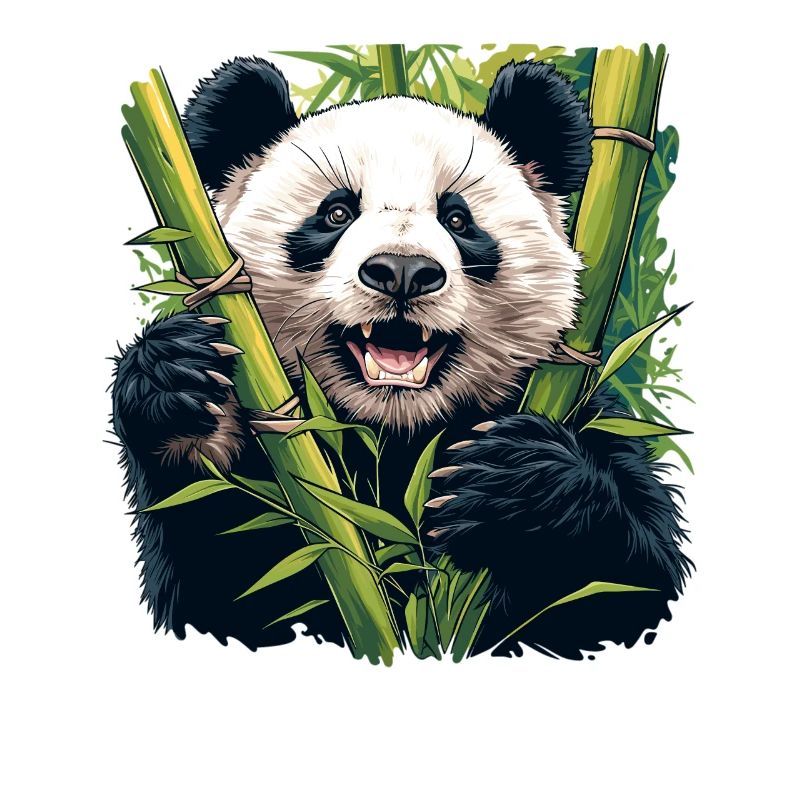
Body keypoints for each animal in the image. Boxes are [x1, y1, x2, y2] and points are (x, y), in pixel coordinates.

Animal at [112, 56, 692, 659]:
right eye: (336, 212)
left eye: (458, 220)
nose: (403, 271)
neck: (396, 430)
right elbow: (224, 575)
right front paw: (179, 384)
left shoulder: (585, 414)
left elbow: (625, 587)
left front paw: (518, 480)